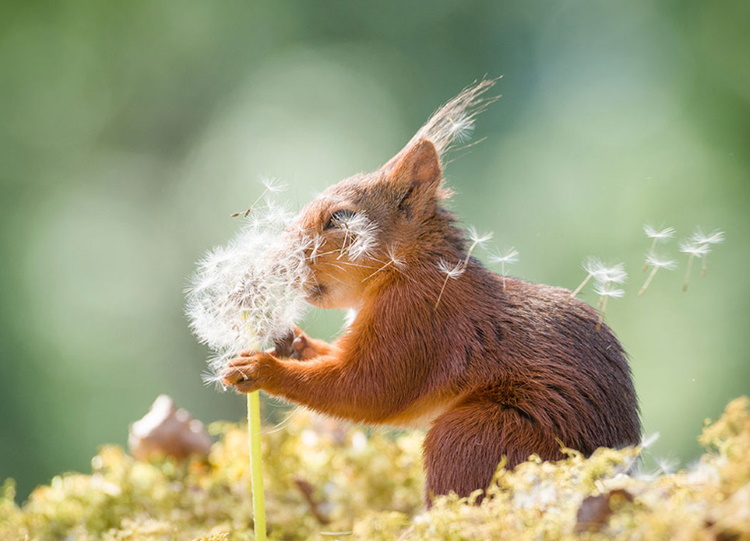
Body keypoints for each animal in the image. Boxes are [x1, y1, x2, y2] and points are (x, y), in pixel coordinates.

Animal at [220, 79, 644, 502]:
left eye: (340, 218)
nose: (276, 262)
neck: (408, 269)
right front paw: (292, 342)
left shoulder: (418, 319)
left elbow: (368, 389)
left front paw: (262, 369)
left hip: (476, 434)